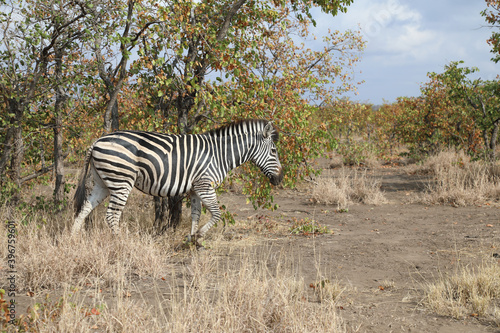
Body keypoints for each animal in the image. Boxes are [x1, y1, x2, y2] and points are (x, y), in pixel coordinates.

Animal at [71, 119, 284, 241]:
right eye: (274, 151)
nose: (280, 179)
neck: (219, 155)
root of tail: (97, 141)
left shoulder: (196, 188)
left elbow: (196, 215)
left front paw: (192, 240)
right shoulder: (205, 185)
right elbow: (216, 214)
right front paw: (198, 236)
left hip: (103, 182)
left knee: (84, 208)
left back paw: (73, 239)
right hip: (121, 181)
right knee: (112, 215)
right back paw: (122, 242)